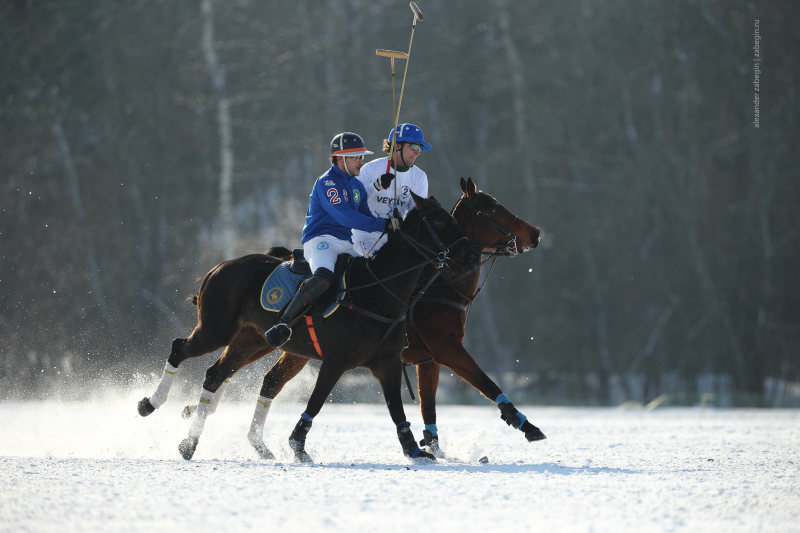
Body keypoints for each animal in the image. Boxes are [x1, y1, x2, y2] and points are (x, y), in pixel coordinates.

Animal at [140, 192, 472, 462]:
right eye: (438, 221)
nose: (467, 256)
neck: (378, 292)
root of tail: (219, 266)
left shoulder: (387, 362)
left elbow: (396, 410)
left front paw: (414, 451)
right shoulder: (336, 361)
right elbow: (316, 401)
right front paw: (297, 446)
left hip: (253, 339)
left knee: (216, 374)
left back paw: (190, 444)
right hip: (216, 329)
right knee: (180, 348)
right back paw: (150, 404)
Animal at [247, 178, 548, 458]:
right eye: (492, 208)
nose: (535, 233)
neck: (440, 286)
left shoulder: (427, 358)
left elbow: (428, 404)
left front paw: (431, 446)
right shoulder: (446, 348)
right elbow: (486, 382)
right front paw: (526, 425)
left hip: (297, 350)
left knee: (272, 380)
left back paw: (259, 444)